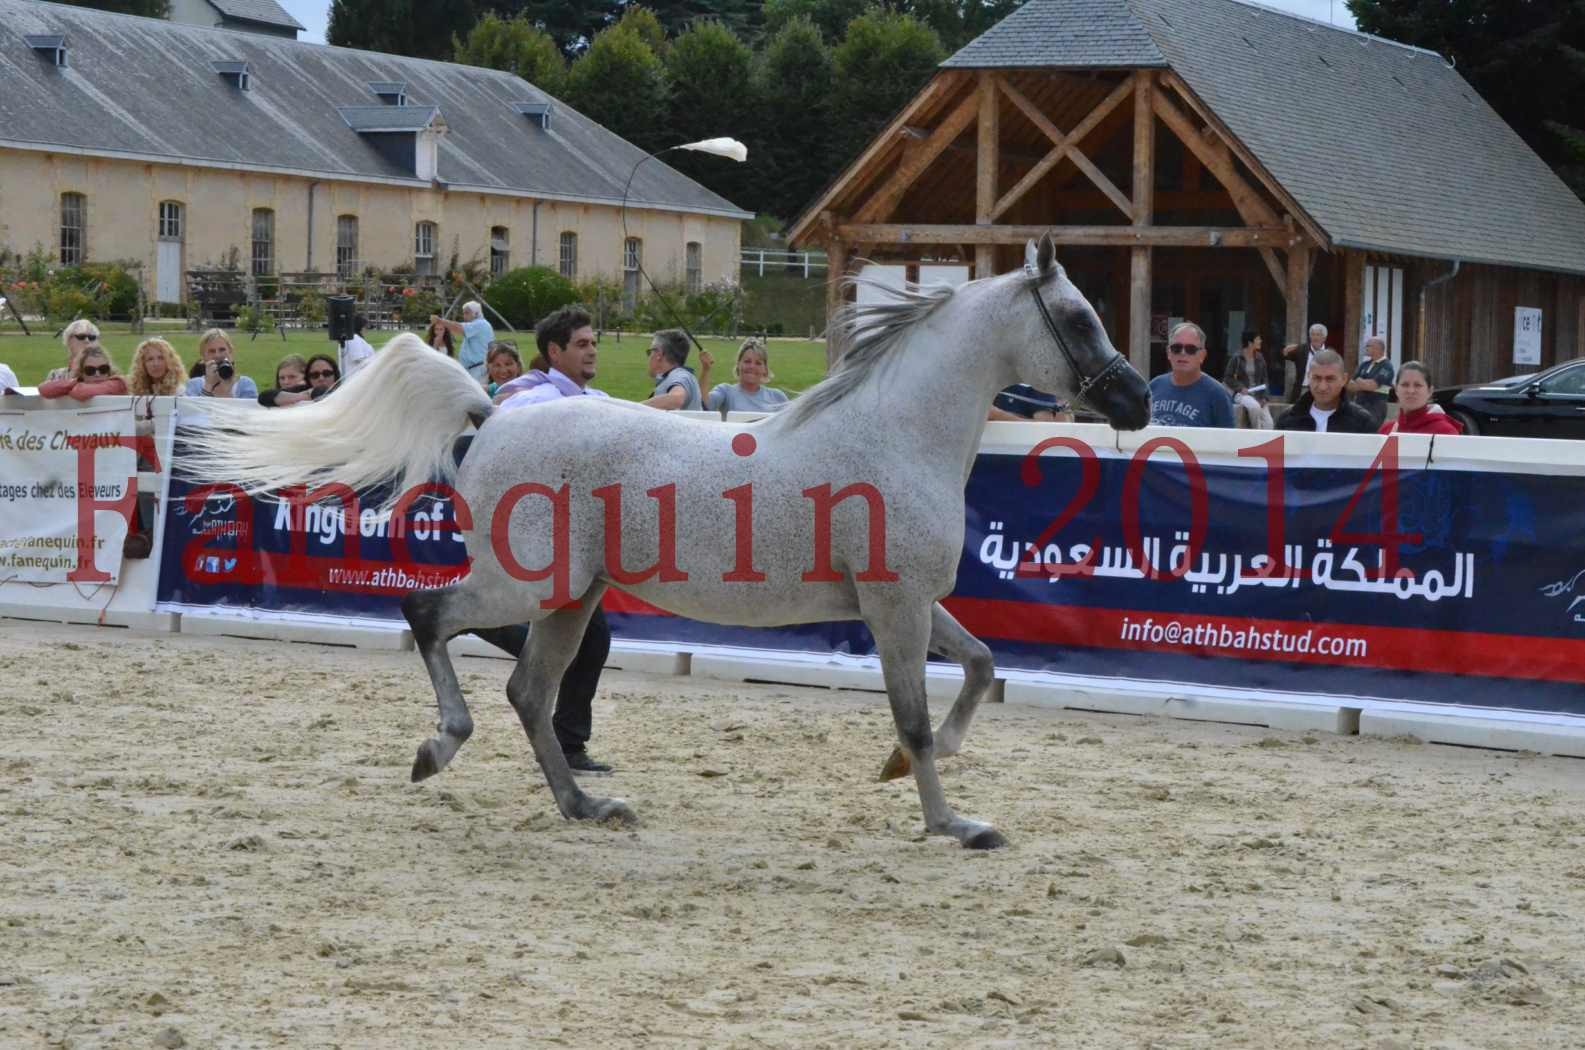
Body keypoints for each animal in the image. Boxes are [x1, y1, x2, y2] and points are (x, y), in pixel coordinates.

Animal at [185, 234, 1153, 850]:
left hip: (570, 601)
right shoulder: (894, 609)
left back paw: (586, 805)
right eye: (1077, 316)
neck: (896, 433)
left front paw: (903, 777)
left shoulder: (908, 603)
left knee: (531, 693)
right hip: (525, 587)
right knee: (430, 617)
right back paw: (439, 749)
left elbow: (982, 666)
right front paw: (953, 824)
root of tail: (493, 414)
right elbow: (915, 716)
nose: (1136, 400)